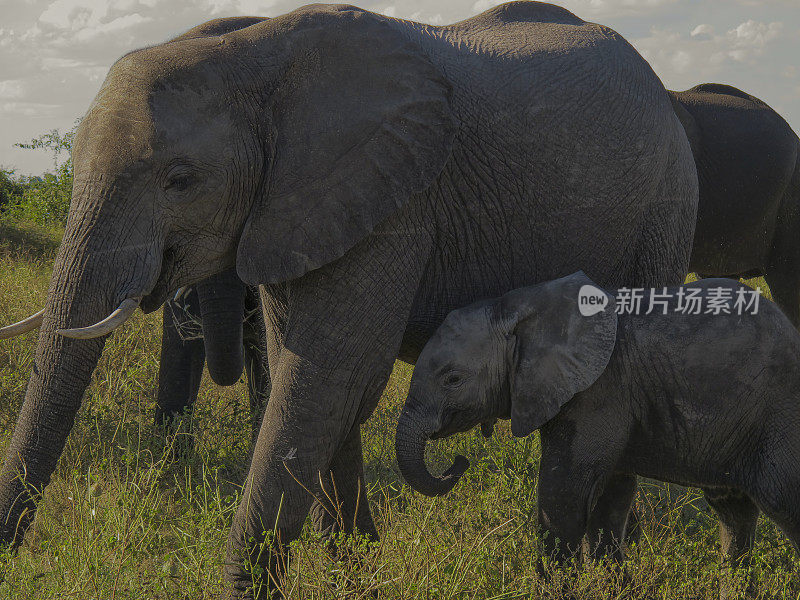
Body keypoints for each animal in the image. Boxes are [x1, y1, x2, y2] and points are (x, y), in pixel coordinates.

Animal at [396, 272, 800, 568]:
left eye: (452, 379)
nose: (459, 461)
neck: (520, 307)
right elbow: (611, 498)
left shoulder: (600, 392)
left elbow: (563, 499)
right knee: (734, 514)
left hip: (779, 418)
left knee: (780, 500)